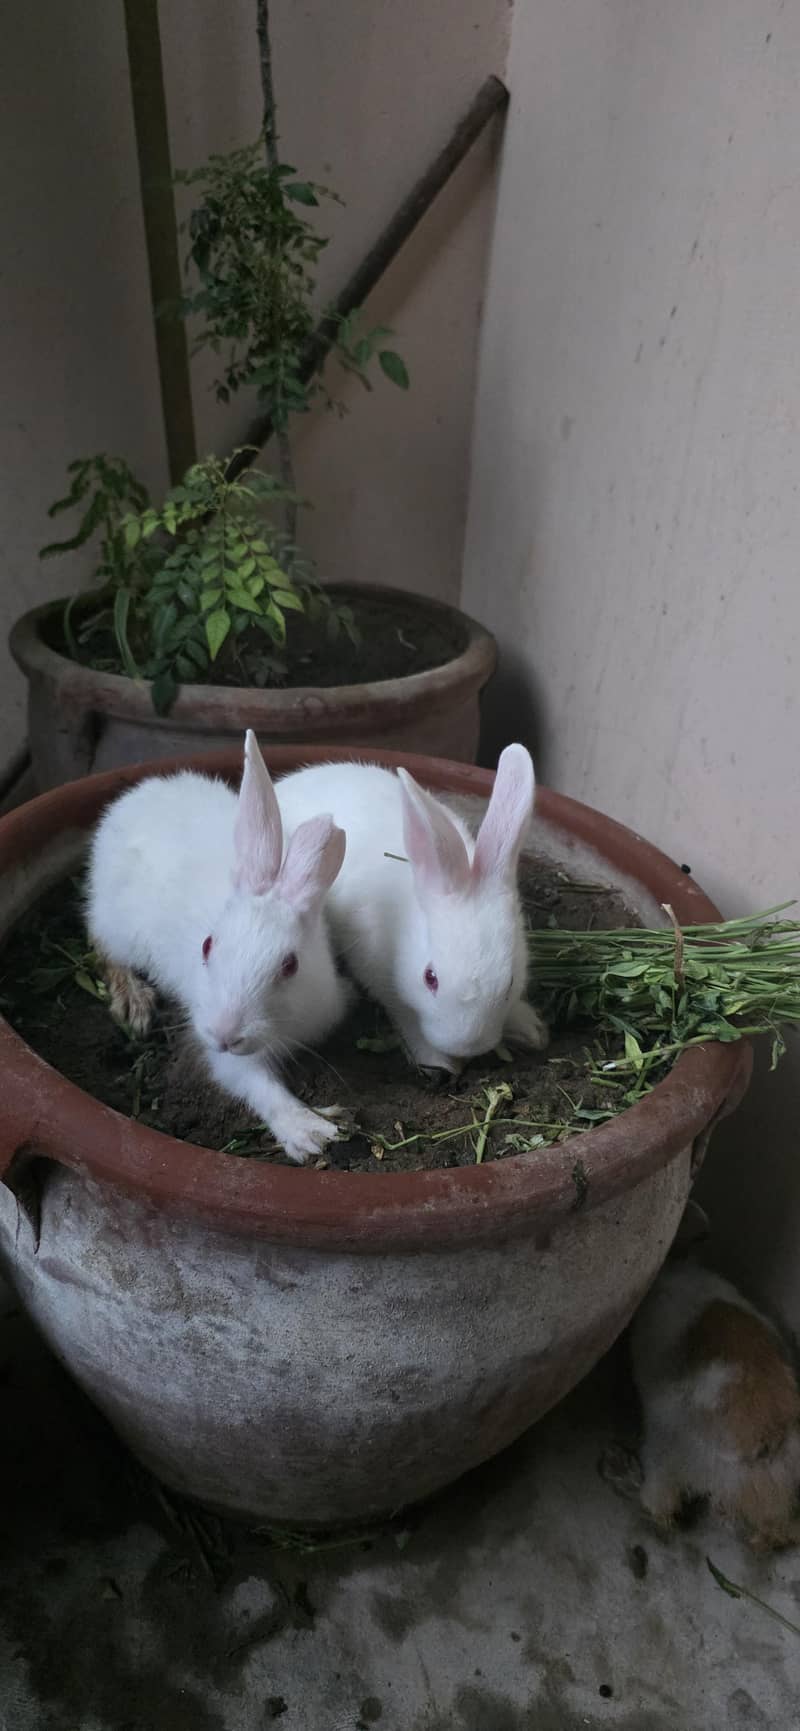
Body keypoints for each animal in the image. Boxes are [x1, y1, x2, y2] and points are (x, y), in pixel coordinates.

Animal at [86, 730, 352, 1163]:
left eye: (290, 965)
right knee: (103, 948)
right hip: (117, 926)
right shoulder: (229, 1058)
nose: (225, 1035)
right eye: (207, 946)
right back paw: (135, 1004)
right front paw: (311, 1134)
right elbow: (258, 1085)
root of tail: (136, 796)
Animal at [275, 744, 548, 1073]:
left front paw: (531, 1029)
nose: (466, 1045)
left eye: (509, 983)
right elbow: (406, 1017)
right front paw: (437, 1061)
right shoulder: (380, 976)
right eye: (430, 978)